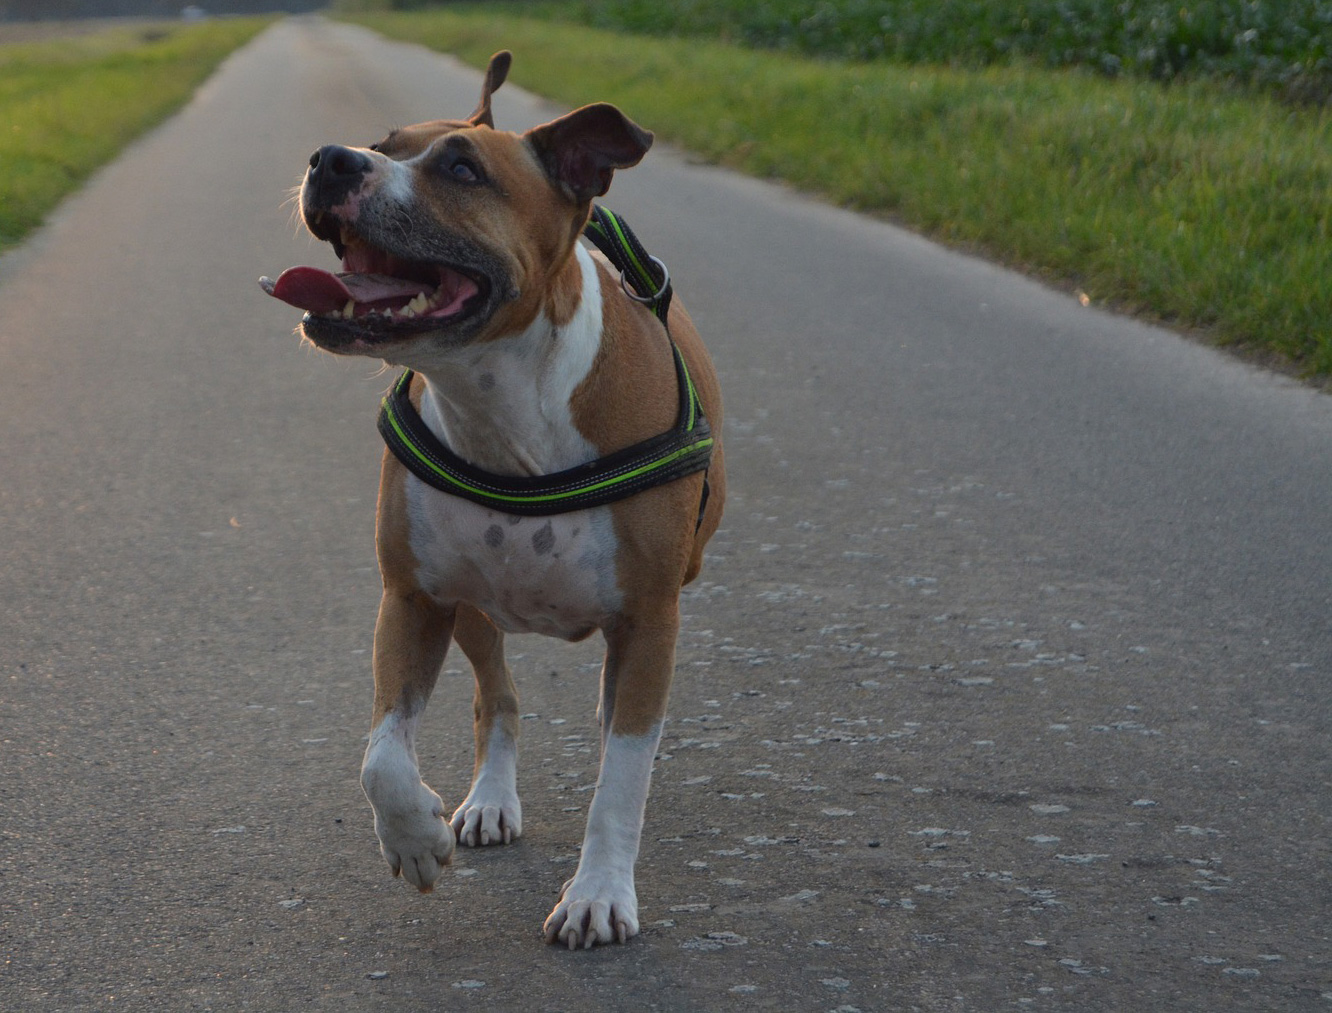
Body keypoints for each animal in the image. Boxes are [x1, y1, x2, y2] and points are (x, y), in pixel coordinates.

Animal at [255, 51, 724, 942]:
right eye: (383, 146)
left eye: (463, 170)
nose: (332, 159)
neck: (501, 403)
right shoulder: (412, 597)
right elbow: (381, 755)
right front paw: (415, 837)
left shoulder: (649, 621)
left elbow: (622, 776)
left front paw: (598, 892)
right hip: (476, 608)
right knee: (497, 697)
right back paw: (488, 801)